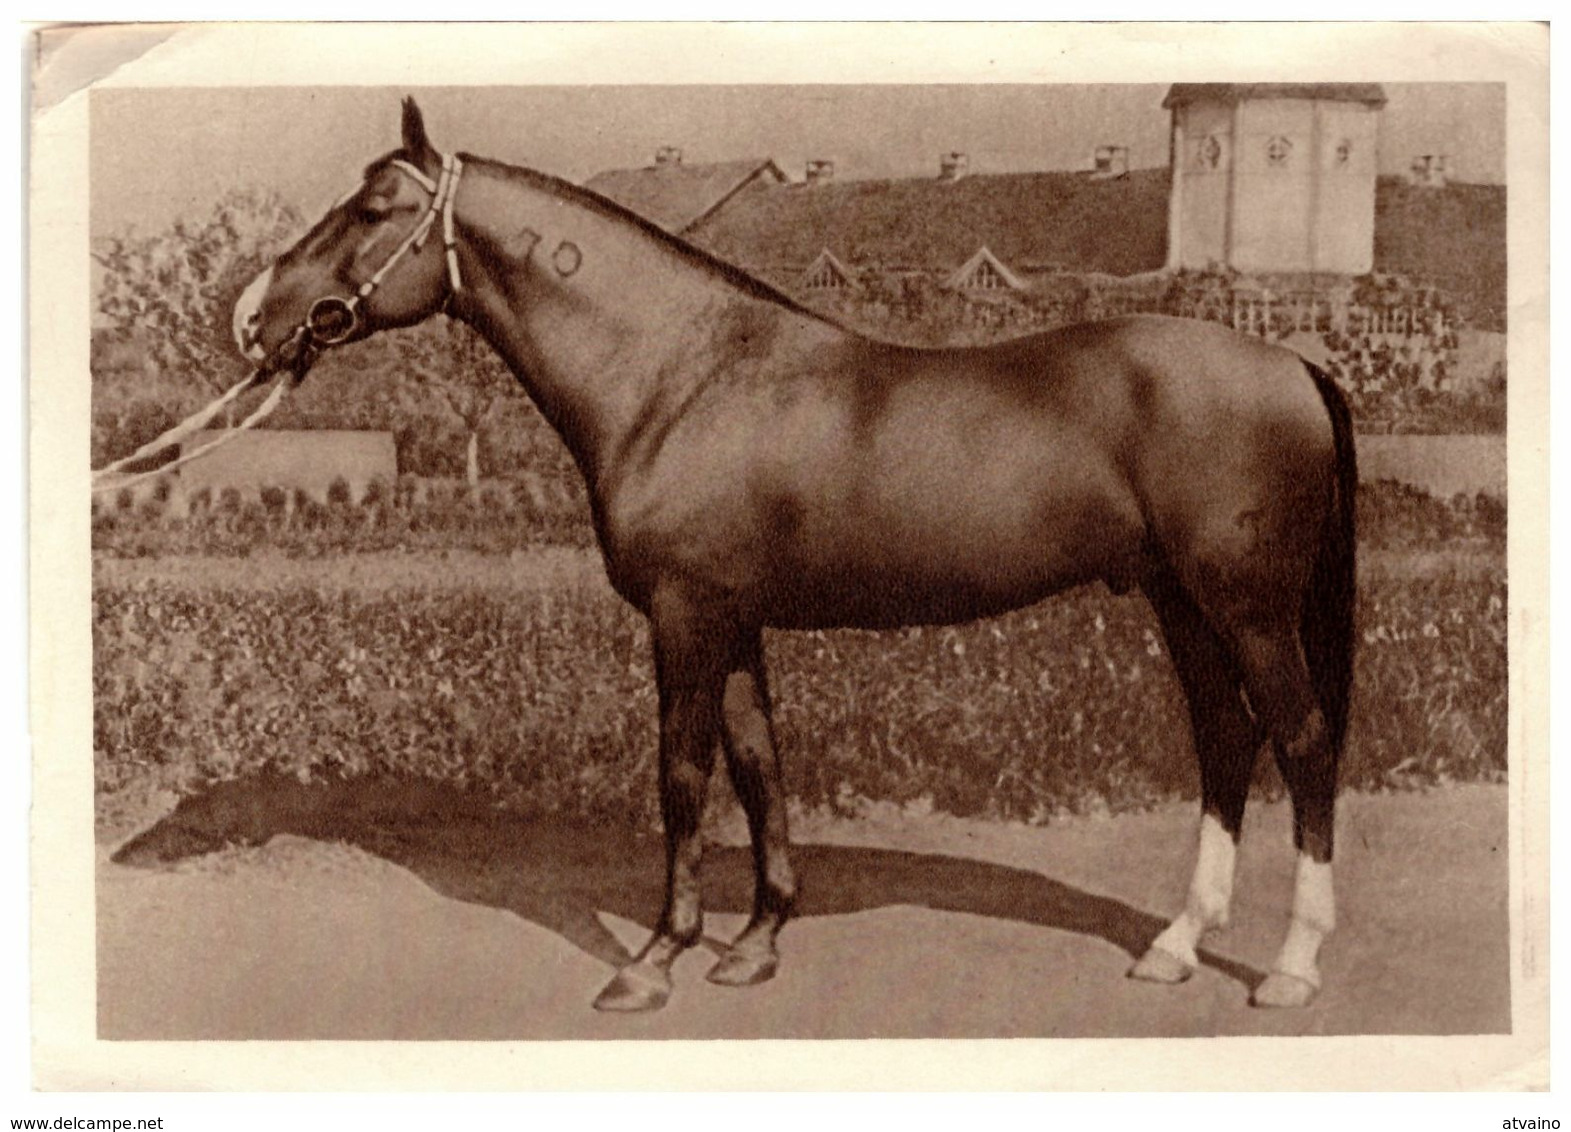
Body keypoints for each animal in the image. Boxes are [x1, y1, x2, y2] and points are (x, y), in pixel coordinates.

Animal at [235, 99, 1363, 1017]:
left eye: (374, 207)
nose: (253, 315)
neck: (680, 374)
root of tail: (1292, 364)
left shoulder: (686, 614)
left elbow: (682, 774)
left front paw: (655, 958)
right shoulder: (733, 620)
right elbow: (758, 765)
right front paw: (754, 943)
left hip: (1246, 607)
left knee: (1301, 742)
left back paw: (1291, 966)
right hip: (1180, 601)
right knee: (1225, 740)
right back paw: (1175, 946)